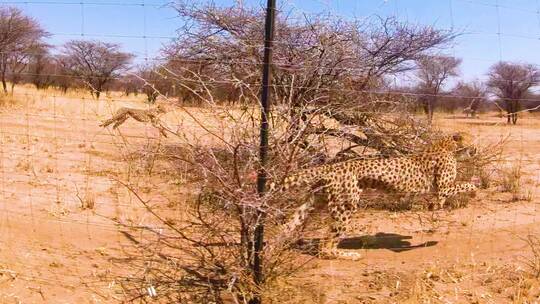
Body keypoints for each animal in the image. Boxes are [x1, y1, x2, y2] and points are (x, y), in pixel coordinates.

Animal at [274, 132, 476, 258]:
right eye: (472, 141)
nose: (476, 150)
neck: (448, 146)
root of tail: (332, 165)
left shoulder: (440, 189)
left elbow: (444, 197)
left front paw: (435, 206)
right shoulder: (443, 187)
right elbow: (466, 184)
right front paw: (473, 190)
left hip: (317, 201)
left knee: (289, 226)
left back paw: (274, 248)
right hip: (345, 206)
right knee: (325, 246)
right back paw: (348, 255)